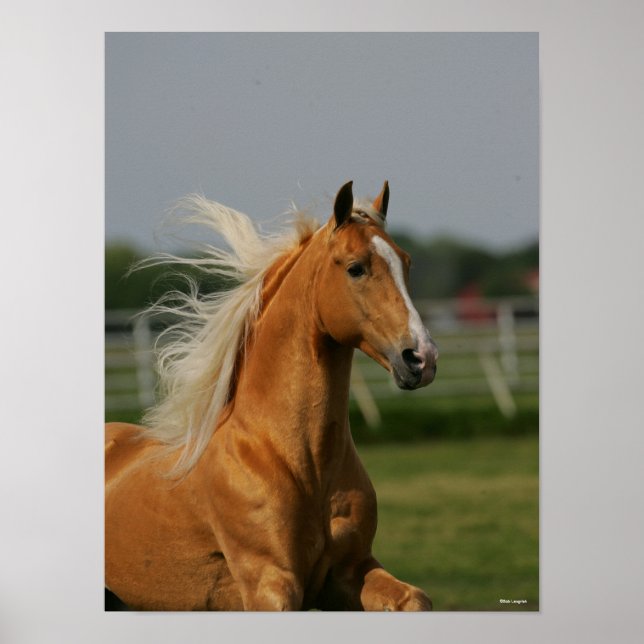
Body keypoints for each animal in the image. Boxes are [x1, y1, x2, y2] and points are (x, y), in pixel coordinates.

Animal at [105, 181, 439, 611]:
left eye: (406, 263)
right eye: (355, 268)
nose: (422, 358)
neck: (299, 462)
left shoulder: (350, 571)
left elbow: (415, 599)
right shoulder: (270, 583)